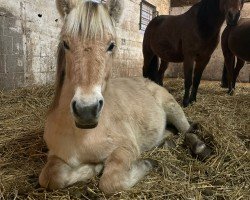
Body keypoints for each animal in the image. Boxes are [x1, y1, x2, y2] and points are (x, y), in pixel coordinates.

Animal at [39, 0, 211, 194]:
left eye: (111, 45)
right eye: (66, 43)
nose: (86, 110)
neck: (83, 134)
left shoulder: (125, 148)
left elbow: (111, 181)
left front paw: (147, 163)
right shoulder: (55, 155)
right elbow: (50, 177)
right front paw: (93, 167)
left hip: (173, 108)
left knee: (187, 130)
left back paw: (200, 148)